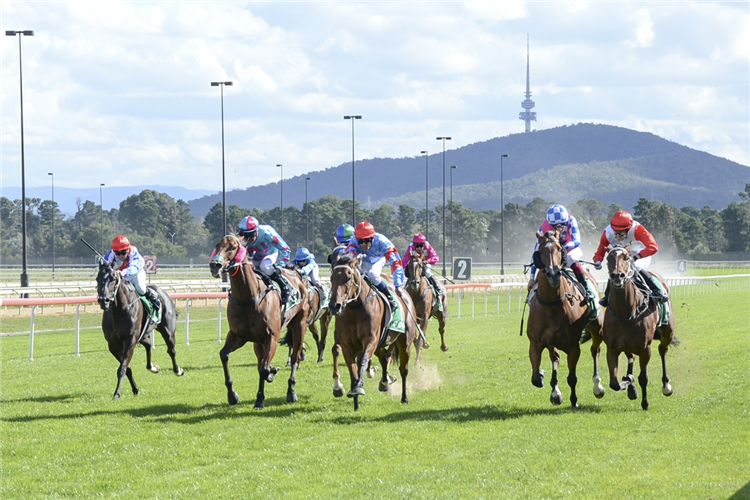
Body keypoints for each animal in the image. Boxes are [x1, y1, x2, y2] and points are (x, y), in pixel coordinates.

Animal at [95, 260, 184, 400]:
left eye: (113, 278)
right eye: (97, 278)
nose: (104, 300)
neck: (119, 311)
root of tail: (163, 292)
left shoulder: (130, 340)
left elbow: (122, 368)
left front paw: (117, 393)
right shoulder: (113, 345)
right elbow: (126, 367)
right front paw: (135, 389)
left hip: (168, 331)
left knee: (171, 350)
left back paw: (178, 370)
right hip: (143, 335)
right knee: (148, 345)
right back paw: (152, 367)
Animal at [209, 236, 312, 408]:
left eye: (232, 247)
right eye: (217, 246)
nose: (214, 265)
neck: (249, 297)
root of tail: (298, 275)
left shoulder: (272, 337)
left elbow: (264, 369)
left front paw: (272, 372)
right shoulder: (238, 336)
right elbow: (224, 355)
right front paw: (232, 395)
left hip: (299, 325)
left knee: (295, 358)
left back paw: (291, 391)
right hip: (258, 341)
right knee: (260, 362)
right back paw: (259, 399)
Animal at [328, 254, 420, 410]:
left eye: (347, 278)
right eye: (331, 278)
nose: (335, 305)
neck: (355, 308)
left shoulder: (370, 340)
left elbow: (363, 361)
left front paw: (359, 386)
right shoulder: (347, 345)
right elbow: (352, 368)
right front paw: (354, 396)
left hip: (404, 342)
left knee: (403, 369)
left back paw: (404, 397)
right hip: (380, 343)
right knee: (384, 358)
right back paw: (384, 382)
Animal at [524, 229, 608, 406]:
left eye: (559, 249)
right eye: (540, 251)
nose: (553, 273)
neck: (552, 305)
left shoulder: (573, 345)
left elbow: (572, 378)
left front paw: (574, 400)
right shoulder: (536, 343)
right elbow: (535, 379)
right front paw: (545, 379)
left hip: (597, 327)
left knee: (595, 350)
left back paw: (597, 386)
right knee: (555, 357)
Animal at [604, 243, 680, 410]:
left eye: (626, 257)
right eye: (608, 258)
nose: (617, 276)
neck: (626, 313)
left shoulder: (645, 348)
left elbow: (643, 378)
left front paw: (645, 403)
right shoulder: (612, 348)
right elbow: (614, 383)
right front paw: (628, 383)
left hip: (667, 333)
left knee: (662, 350)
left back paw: (666, 386)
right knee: (631, 356)